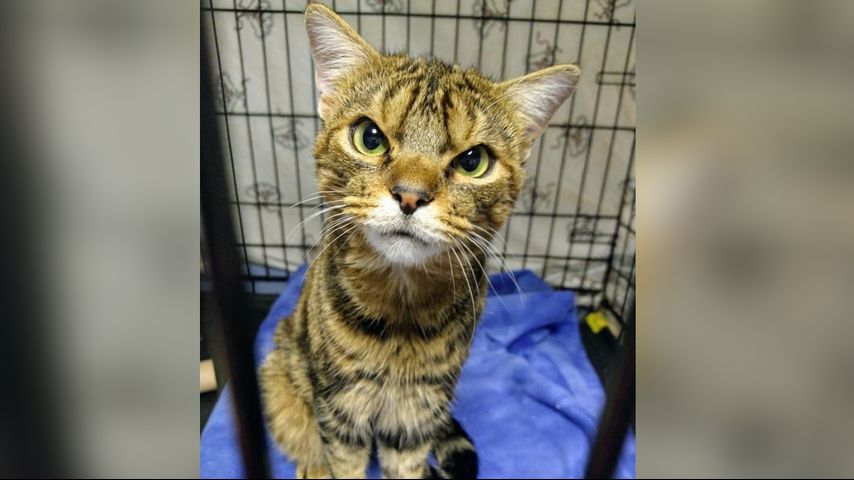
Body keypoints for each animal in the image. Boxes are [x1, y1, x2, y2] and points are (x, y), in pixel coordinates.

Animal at [260, 2, 580, 476]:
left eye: (473, 161)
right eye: (370, 137)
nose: (410, 195)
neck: (401, 312)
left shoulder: (416, 413)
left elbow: (407, 464)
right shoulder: (341, 409)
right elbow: (344, 462)